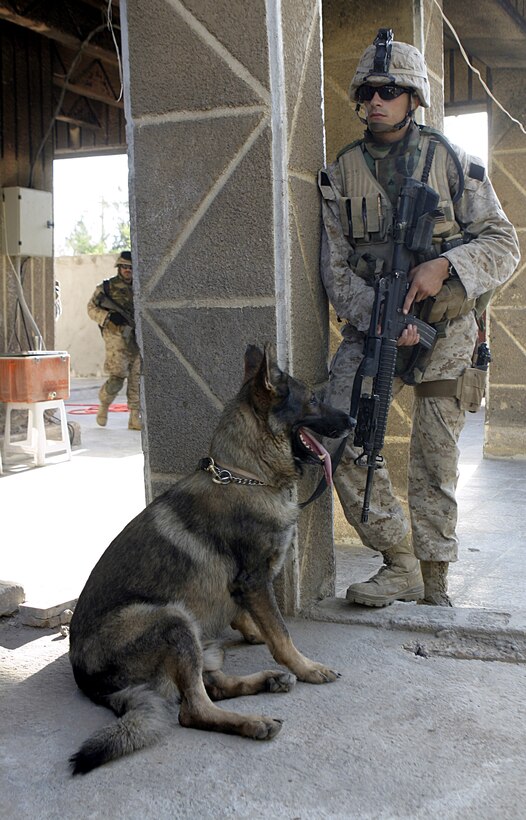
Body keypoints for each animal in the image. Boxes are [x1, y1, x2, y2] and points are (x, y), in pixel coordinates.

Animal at [68, 342, 352, 772]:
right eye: (314, 400)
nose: (352, 420)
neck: (247, 474)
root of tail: (87, 680)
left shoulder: (244, 588)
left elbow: (253, 619)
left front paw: (255, 633)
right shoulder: (254, 580)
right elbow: (282, 634)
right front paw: (307, 668)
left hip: (197, 641)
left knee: (207, 686)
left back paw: (267, 682)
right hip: (173, 620)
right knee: (193, 709)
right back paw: (254, 722)